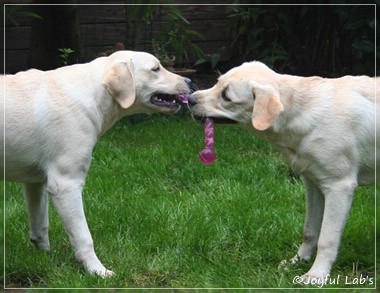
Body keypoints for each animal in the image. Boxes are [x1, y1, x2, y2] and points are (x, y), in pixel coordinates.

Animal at [1, 50, 191, 276]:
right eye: (155, 69)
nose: (189, 81)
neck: (94, 93)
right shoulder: (66, 184)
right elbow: (84, 237)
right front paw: (97, 271)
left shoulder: (35, 183)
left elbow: (40, 225)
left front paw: (44, 256)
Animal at [188, 61, 378, 282]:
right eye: (217, 83)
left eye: (226, 96)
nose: (190, 99)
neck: (301, 110)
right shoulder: (312, 183)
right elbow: (309, 231)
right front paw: (298, 261)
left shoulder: (339, 186)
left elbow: (327, 238)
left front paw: (316, 275)